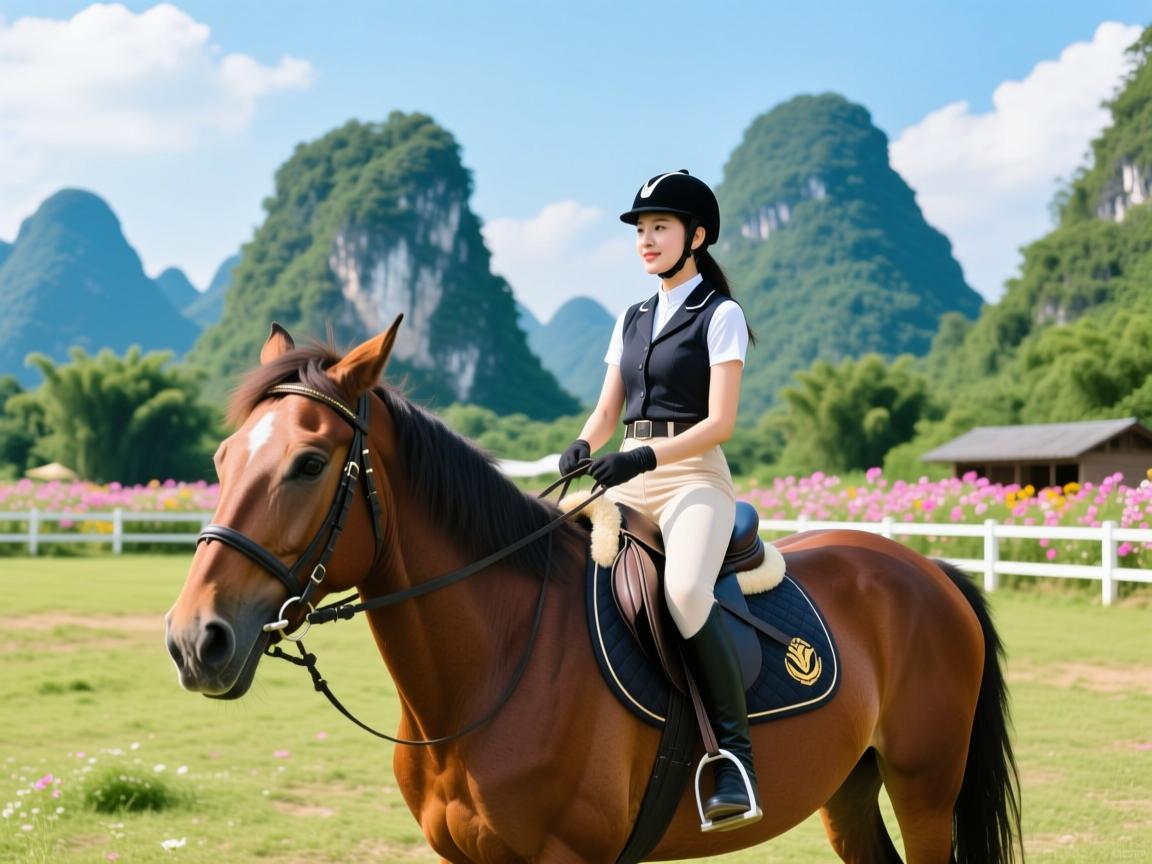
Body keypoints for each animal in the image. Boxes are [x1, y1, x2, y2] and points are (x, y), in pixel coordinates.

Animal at [165, 317, 1023, 864]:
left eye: (309, 464)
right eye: (222, 457)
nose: (193, 640)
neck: (496, 664)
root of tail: (927, 569)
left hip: (924, 788)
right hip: (848, 788)